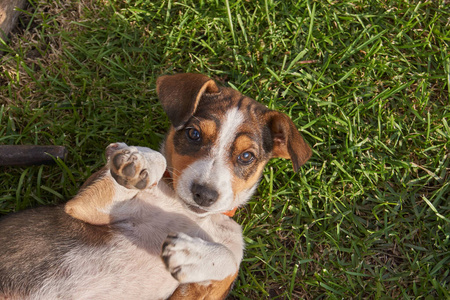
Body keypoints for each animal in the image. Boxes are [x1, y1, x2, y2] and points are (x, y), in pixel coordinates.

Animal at [0, 73, 310, 300]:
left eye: (246, 157)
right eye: (193, 134)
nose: (204, 194)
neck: (189, 213)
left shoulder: (198, 291)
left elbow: (230, 258)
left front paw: (191, 254)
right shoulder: (84, 206)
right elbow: (155, 161)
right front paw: (137, 162)